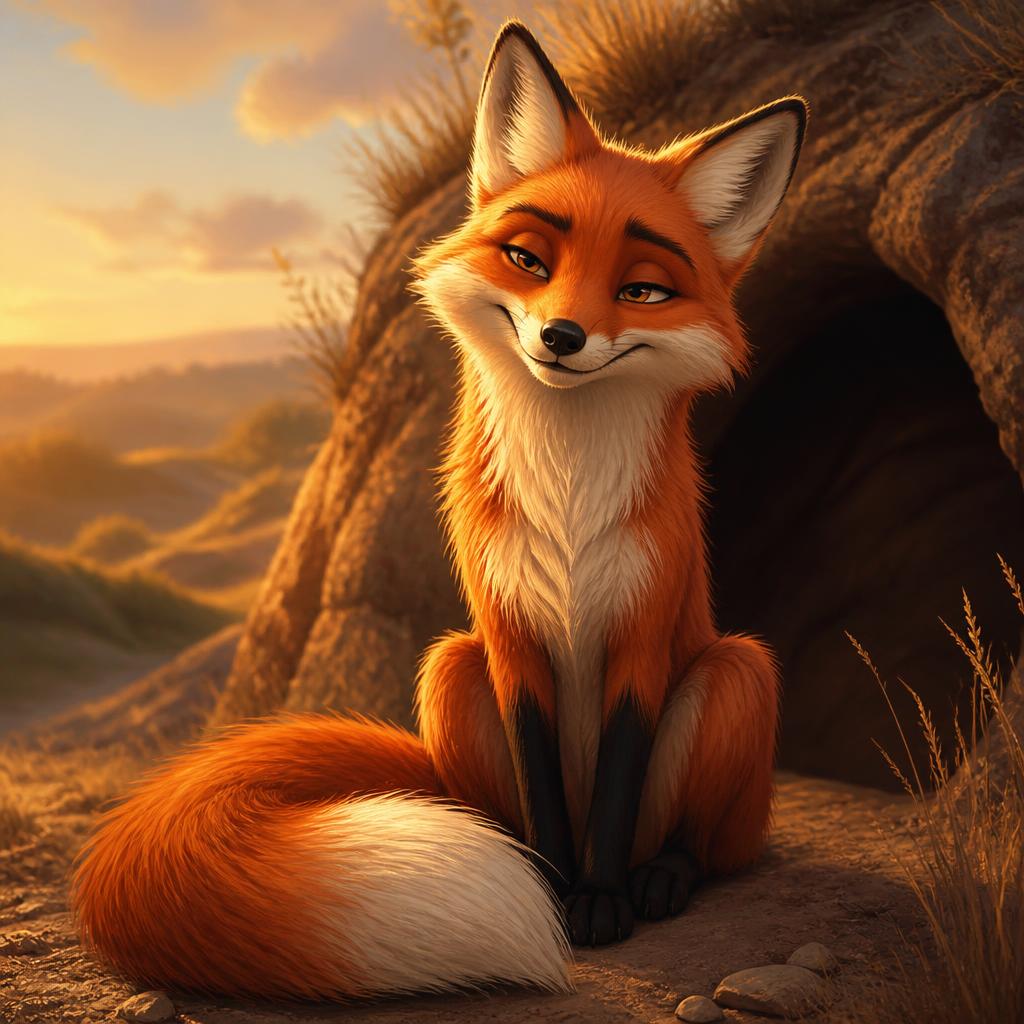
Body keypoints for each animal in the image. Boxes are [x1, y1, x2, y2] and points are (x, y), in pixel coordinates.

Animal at [72, 21, 807, 1004]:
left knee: (709, 843)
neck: (568, 505)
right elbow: (540, 781)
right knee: (497, 807)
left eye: (643, 290)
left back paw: (660, 875)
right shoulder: (504, 630)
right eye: (529, 260)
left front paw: (600, 899)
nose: (561, 337)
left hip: (736, 673)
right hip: (448, 669)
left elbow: (615, 784)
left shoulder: (643, 633)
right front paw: (555, 889)